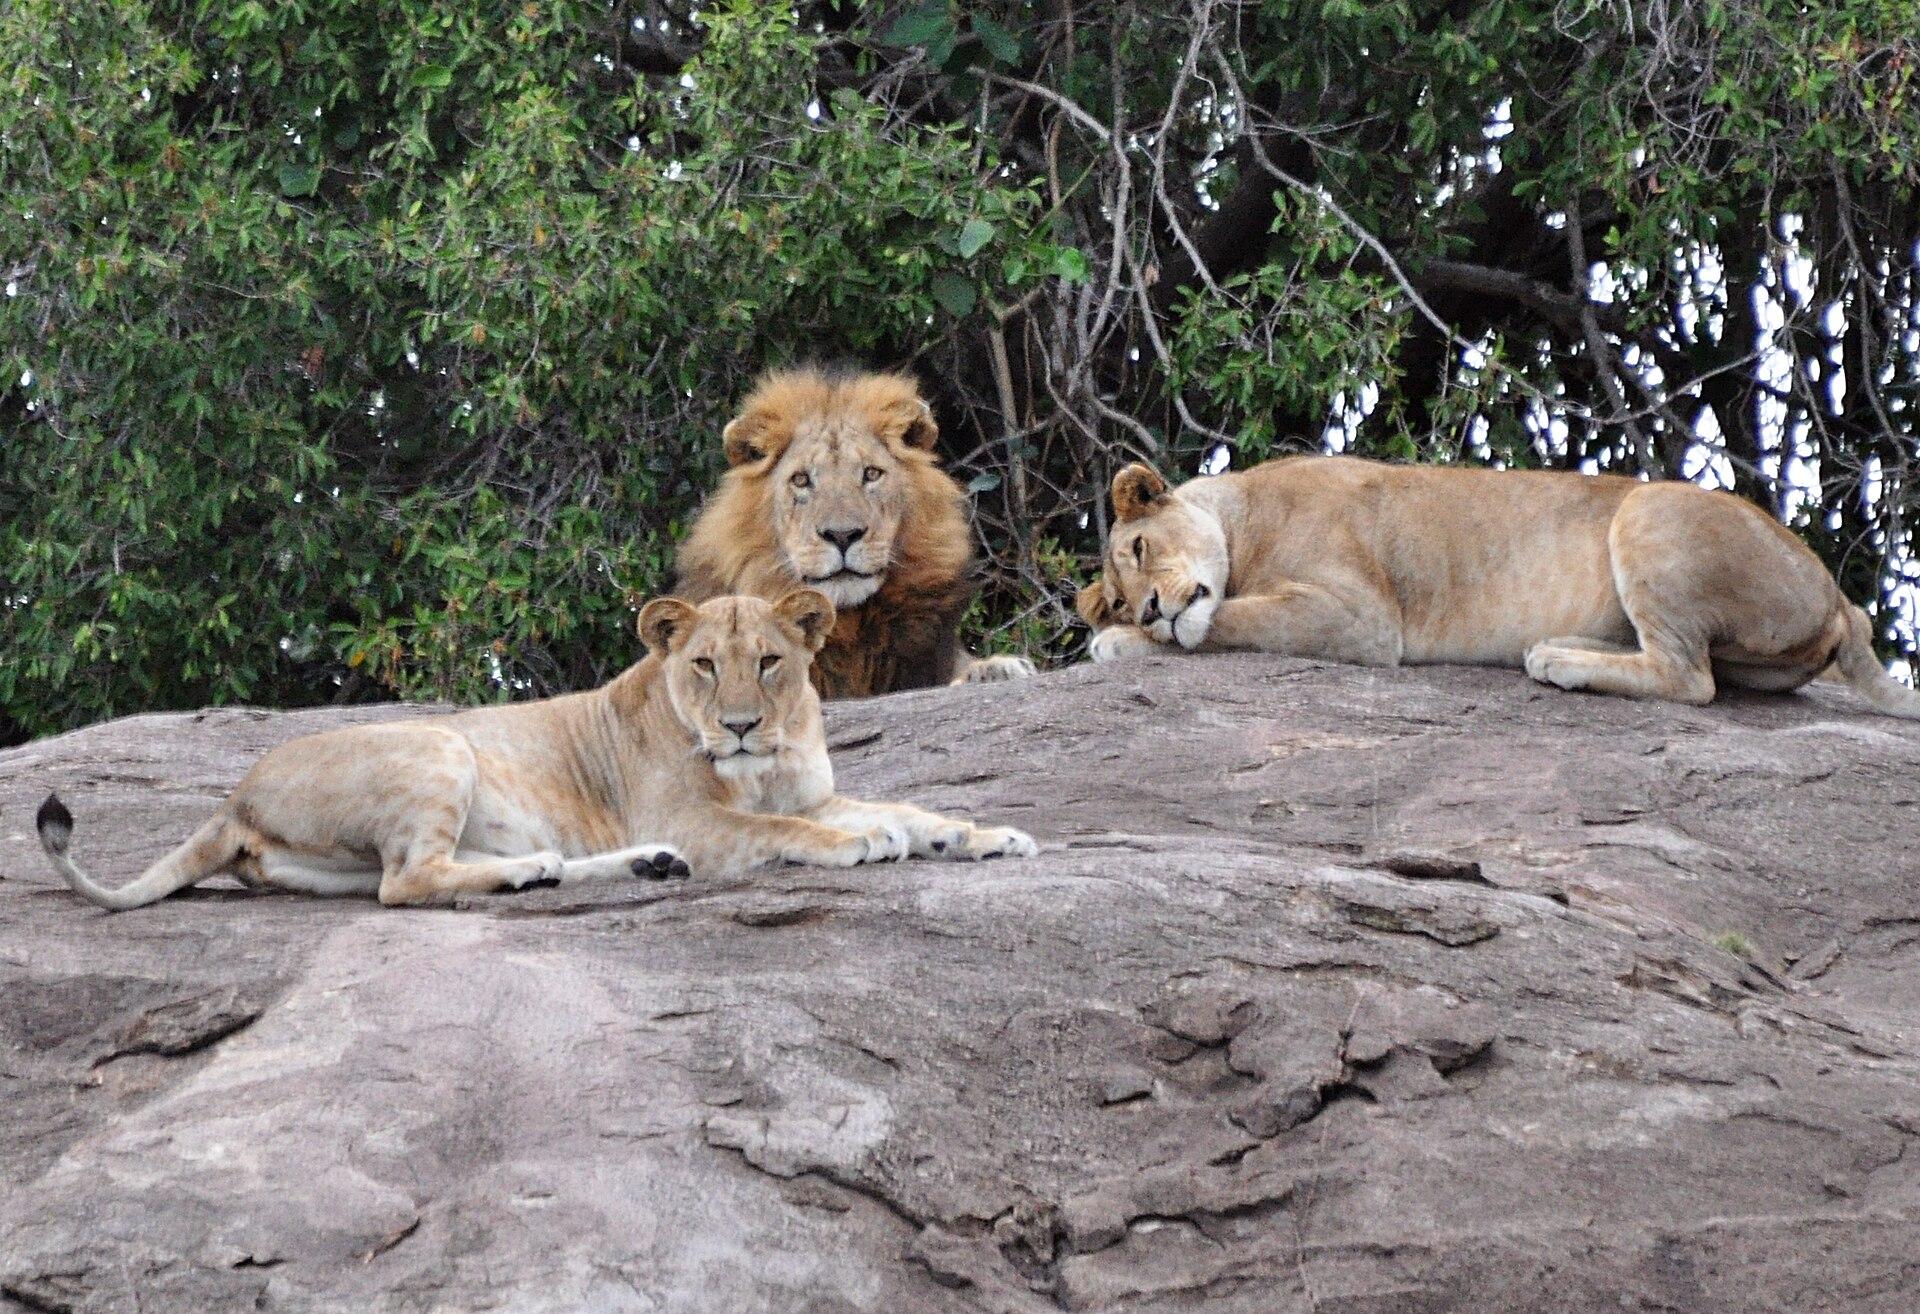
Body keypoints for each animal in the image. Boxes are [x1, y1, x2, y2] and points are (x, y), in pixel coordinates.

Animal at [36, 590, 1039, 911]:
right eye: (704, 665)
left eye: (769, 662)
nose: (741, 725)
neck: (768, 761)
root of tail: (233, 798)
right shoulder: (701, 816)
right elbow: (791, 834)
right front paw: (868, 845)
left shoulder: (808, 792)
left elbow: (907, 806)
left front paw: (983, 836)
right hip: (440, 742)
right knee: (408, 883)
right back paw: (542, 873)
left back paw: (613, 869)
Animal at [1076, 455, 1920, 718]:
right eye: (1117, 591)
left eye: (1142, 545)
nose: (1146, 607)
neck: (1241, 516)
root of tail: (1840, 601)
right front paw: (1122, 639)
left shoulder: (1362, 618)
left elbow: (1226, 622)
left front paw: (1129, 644)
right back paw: (1564, 646)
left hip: (1651, 509)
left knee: (1691, 679)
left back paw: (1562, 663)